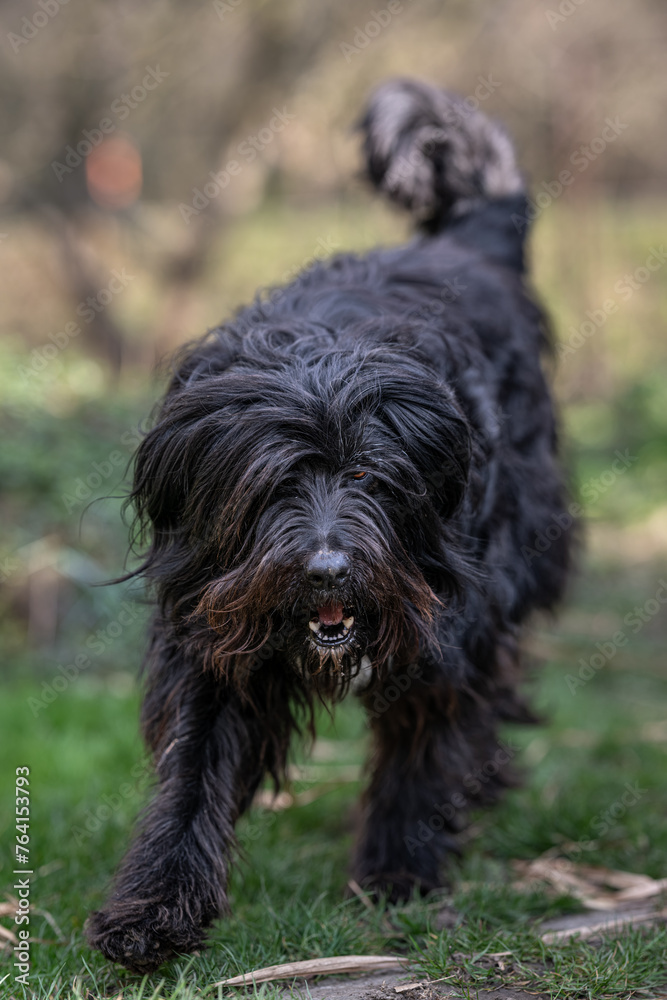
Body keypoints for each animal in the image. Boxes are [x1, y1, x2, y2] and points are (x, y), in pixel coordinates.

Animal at [86, 82, 572, 972]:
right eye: (274, 486)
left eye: (367, 479)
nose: (327, 569)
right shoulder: (211, 633)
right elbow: (194, 766)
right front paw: (154, 906)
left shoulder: (445, 623)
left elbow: (424, 743)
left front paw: (397, 874)